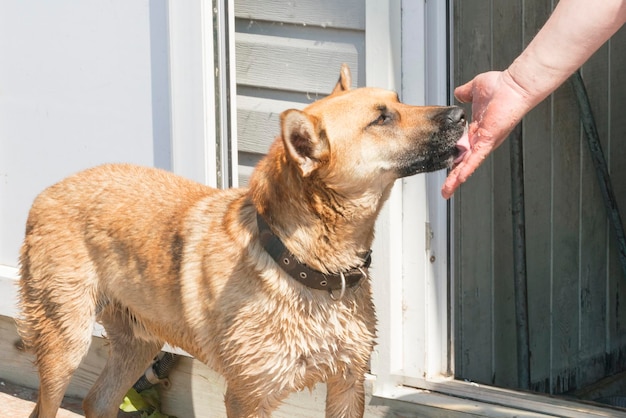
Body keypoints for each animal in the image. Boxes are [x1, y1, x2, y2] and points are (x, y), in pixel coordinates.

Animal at [18, 63, 464, 416]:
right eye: (382, 120)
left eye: (398, 100)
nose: (461, 112)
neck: (304, 262)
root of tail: (47, 192)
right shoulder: (249, 395)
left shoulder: (347, 383)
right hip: (65, 343)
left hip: (139, 341)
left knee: (98, 401)